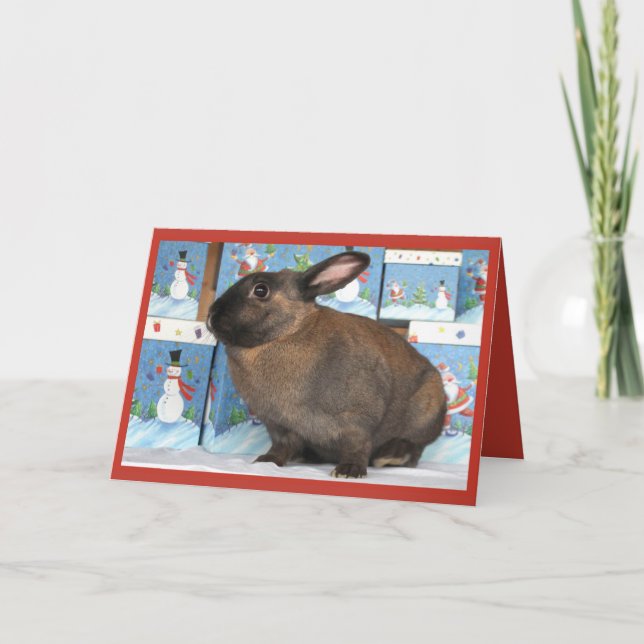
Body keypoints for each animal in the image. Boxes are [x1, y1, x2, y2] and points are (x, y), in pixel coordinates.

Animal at [206, 251, 447, 478]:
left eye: (260, 290)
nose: (211, 315)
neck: (287, 333)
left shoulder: (357, 419)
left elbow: (357, 445)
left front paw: (349, 471)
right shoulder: (279, 425)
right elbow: (281, 446)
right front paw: (267, 461)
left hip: (424, 415)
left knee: (414, 449)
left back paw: (388, 457)